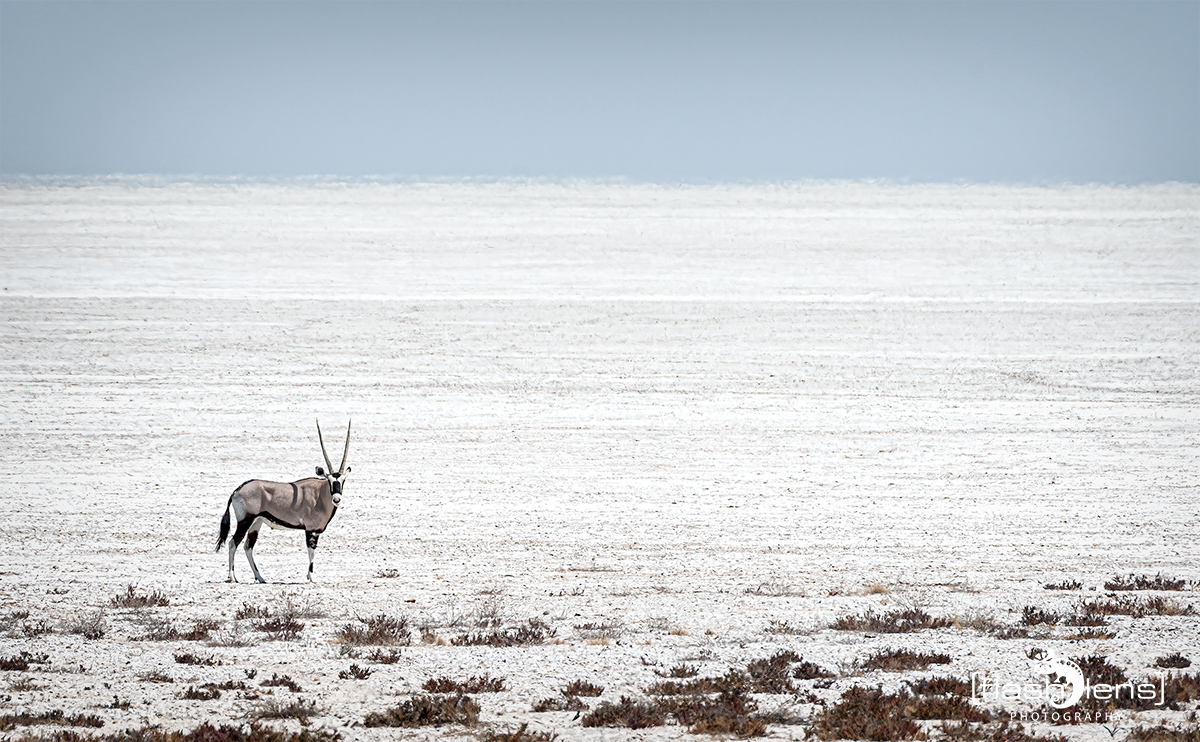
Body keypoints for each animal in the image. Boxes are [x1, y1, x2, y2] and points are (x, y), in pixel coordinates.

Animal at [217, 417, 350, 581]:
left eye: (343, 480)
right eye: (329, 480)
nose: (336, 499)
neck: (320, 494)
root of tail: (236, 491)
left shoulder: (316, 531)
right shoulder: (310, 530)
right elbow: (311, 552)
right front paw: (311, 578)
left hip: (256, 522)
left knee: (248, 546)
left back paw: (260, 577)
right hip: (245, 520)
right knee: (232, 543)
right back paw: (232, 577)